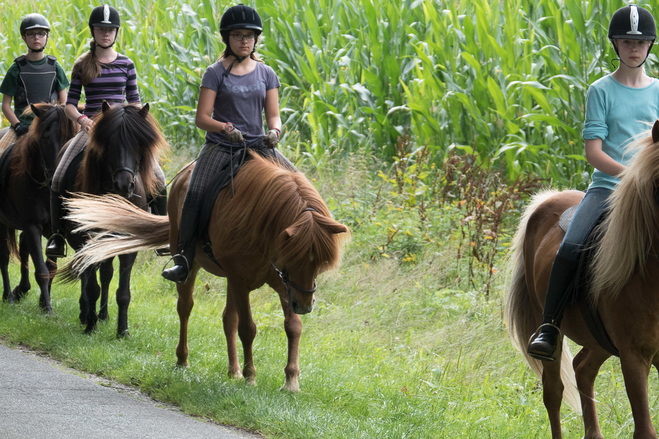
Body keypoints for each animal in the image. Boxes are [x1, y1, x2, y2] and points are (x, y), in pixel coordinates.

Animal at [0, 102, 76, 312]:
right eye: (44, 138)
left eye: (71, 137)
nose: (56, 177)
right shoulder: (32, 225)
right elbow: (41, 269)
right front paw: (48, 308)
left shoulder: (55, 230)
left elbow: (51, 268)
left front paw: (43, 303)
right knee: (4, 256)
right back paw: (9, 295)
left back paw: (20, 290)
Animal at [508, 118, 659, 438]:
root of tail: (549, 197)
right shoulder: (634, 358)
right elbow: (645, 429)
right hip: (549, 328)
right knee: (554, 391)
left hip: (598, 339)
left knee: (582, 368)